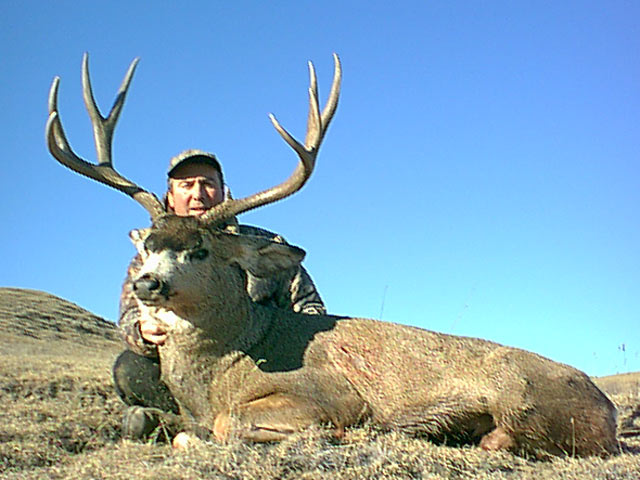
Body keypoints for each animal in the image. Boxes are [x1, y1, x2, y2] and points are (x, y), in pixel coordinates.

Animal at [45, 54, 616, 456]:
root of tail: (608, 408)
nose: (146, 283)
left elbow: (228, 425)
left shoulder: (330, 395)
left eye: (201, 250)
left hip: (518, 394)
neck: (228, 362)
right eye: (150, 246)